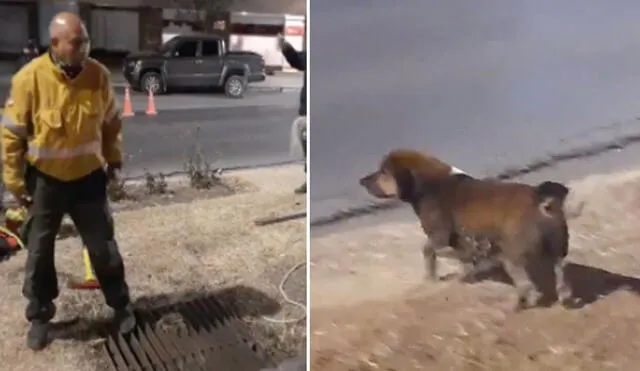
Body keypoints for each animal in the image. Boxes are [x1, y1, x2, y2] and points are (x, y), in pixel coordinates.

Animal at [360, 150, 576, 312]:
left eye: (383, 172)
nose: (362, 181)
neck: (428, 185)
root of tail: (543, 203)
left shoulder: (440, 236)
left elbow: (430, 251)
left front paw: (433, 276)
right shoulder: (458, 240)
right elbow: (459, 259)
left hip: (512, 256)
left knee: (526, 286)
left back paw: (516, 306)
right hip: (558, 251)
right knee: (562, 279)